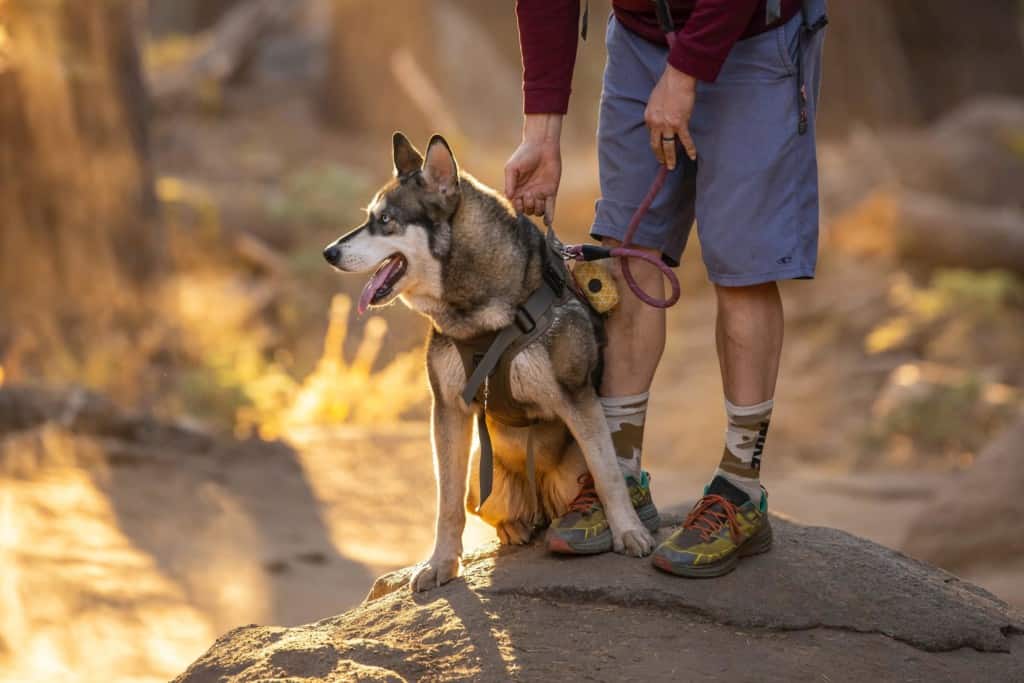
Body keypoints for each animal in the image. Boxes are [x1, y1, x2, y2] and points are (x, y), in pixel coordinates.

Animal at [321, 135, 655, 593]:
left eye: (385, 220)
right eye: (370, 218)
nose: (328, 252)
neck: (482, 318)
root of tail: (539, 503)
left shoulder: (578, 398)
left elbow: (608, 475)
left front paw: (628, 532)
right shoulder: (448, 410)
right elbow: (445, 503)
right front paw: (441, 563)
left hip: (571, 472)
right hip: (483, 478)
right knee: (485, 509)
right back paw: (514, 528)